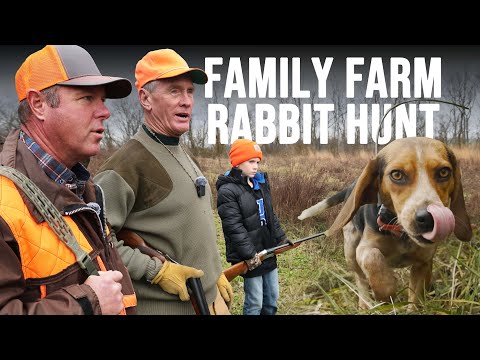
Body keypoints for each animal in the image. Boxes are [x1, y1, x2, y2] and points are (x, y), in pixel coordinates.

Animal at [298, 138, 470, 310]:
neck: (401, 233)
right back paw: (365, 303)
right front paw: (384, 292)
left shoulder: (423, 263)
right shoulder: (364, 249)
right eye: (397, 174)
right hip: (350, 250)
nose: (428, 218)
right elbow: (373, 259)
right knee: (360, 279)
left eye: (444, 172)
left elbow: (415, 298)